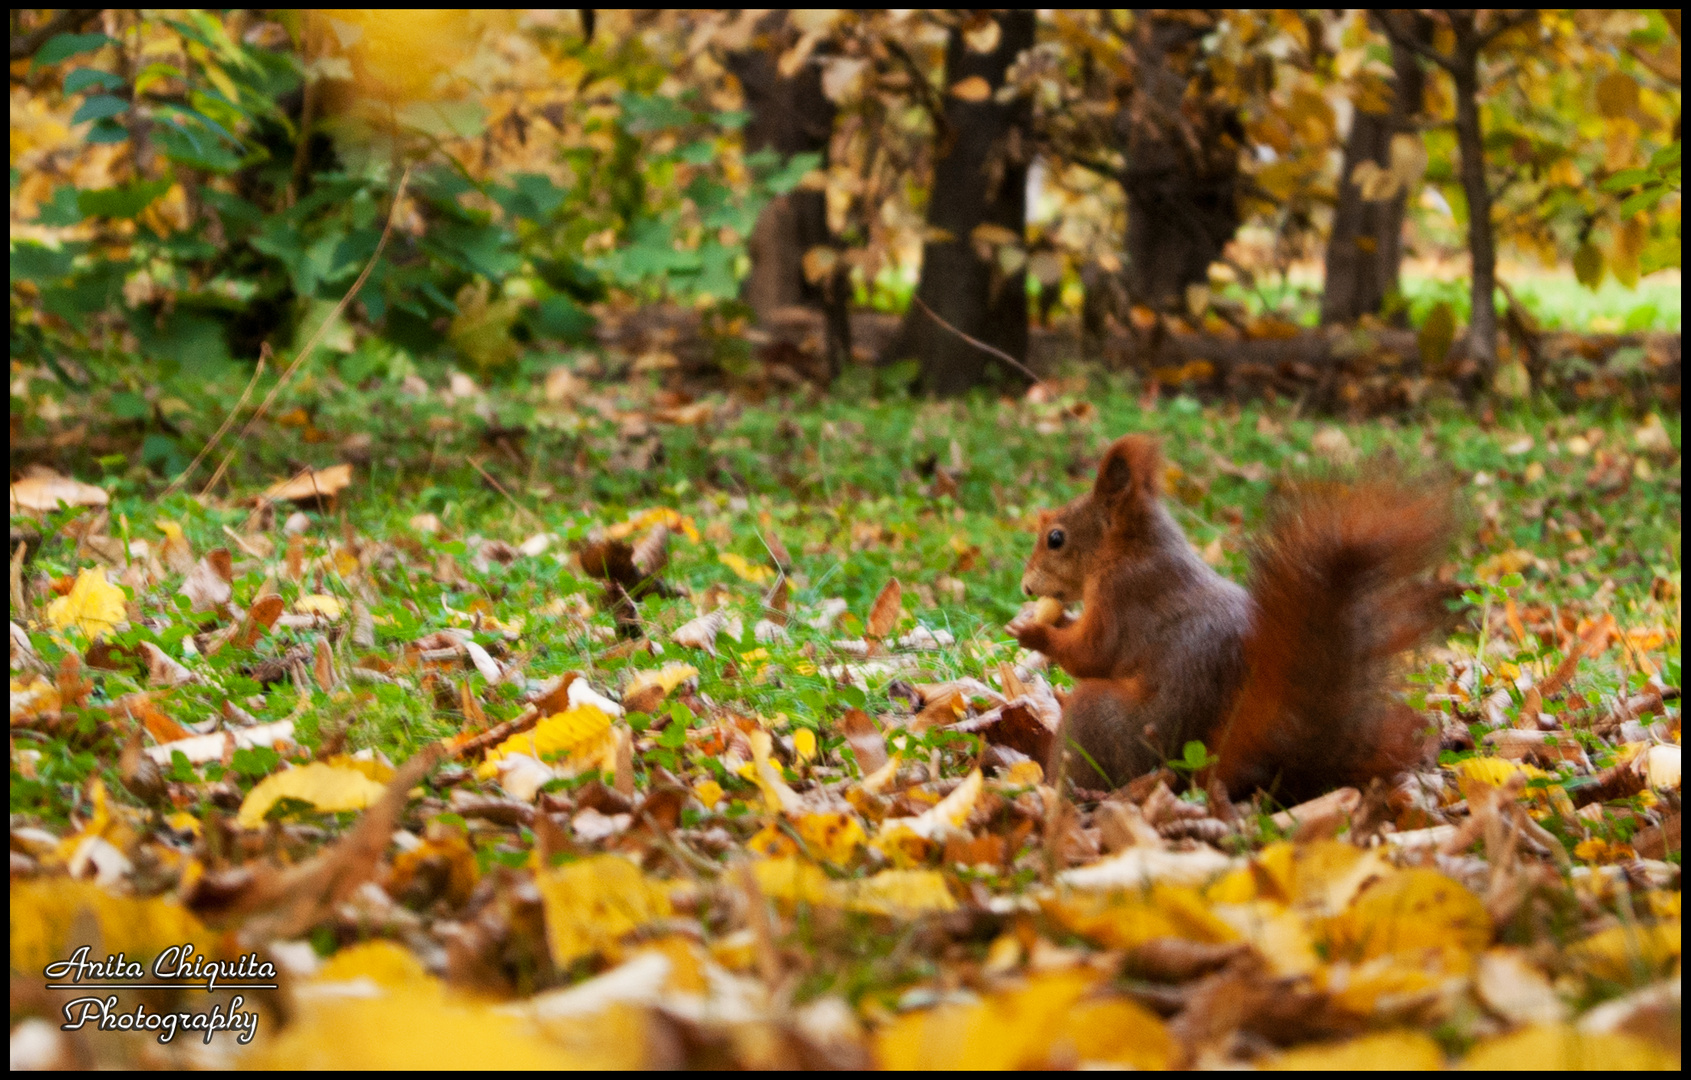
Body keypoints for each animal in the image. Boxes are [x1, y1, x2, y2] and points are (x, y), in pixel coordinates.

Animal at [1001, 432, 1454, 804]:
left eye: (1056, 538)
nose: (1026, 588)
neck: (1132, 551)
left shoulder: (1123, 599)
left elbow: (1092, 654)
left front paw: (1034, 631)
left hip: (1103, 723)